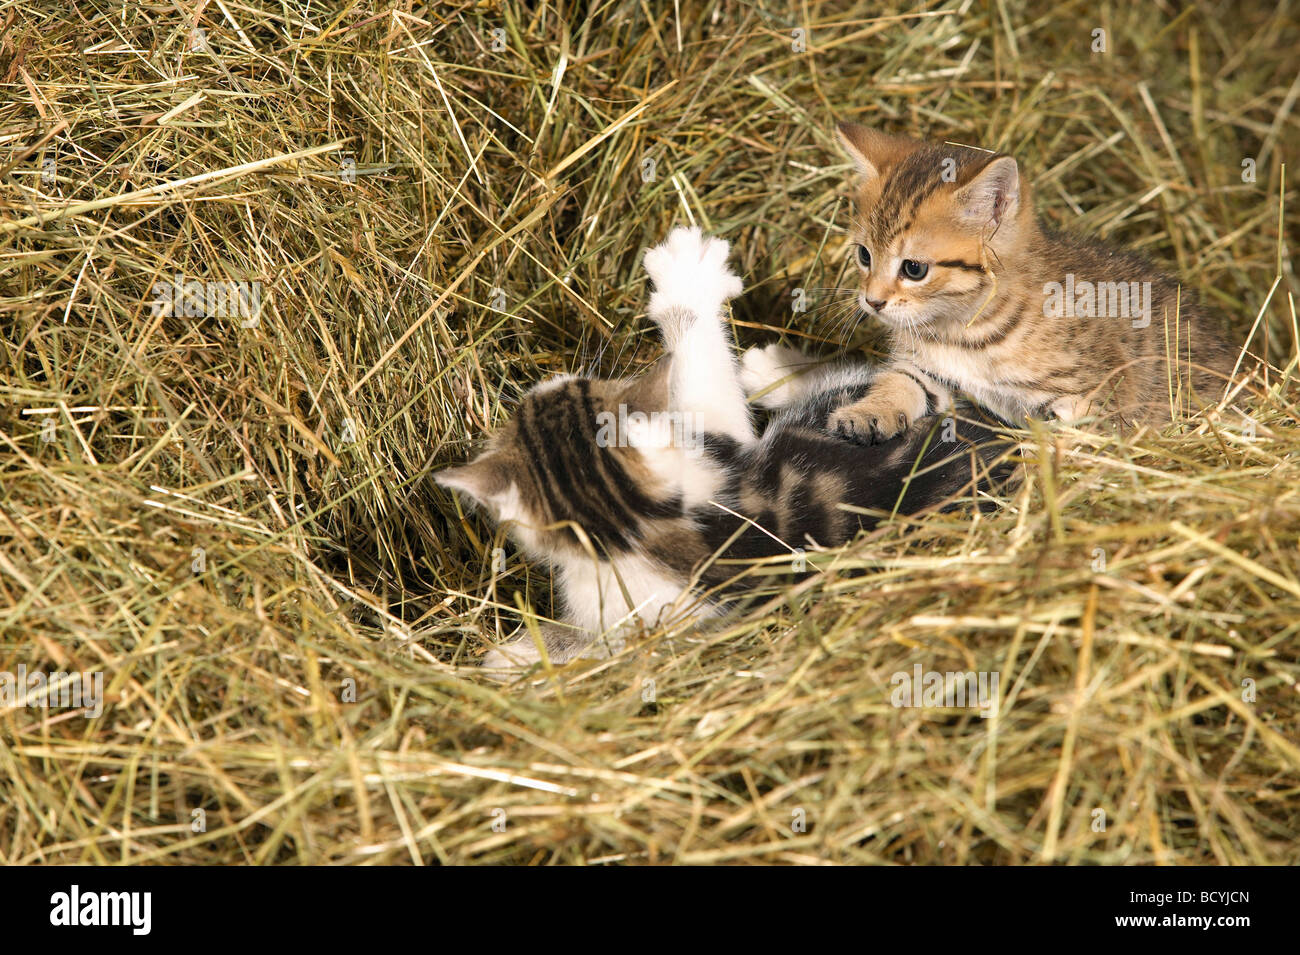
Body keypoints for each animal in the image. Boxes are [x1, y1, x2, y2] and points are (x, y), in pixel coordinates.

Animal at [436, 227, 1013, 670]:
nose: (549, 379)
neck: (629, 524)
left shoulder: (721, 451)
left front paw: (687, 280)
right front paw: (520, 657)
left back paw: (770, 371)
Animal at [821, 122, 1237, 444]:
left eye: (913, 269)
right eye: (864, 256)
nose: (871, 301)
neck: (966, 330)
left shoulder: (1087, 400)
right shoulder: (929, 370)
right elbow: (900, 381)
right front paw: (868, 412)